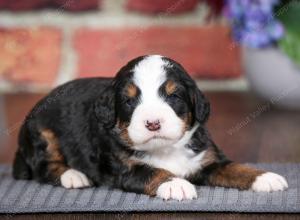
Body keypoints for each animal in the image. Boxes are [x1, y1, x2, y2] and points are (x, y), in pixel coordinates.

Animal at [12, 54, 288, 199]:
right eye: (129, 100)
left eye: (173, 96)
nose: (153, 123)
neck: (165, 149)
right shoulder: (125, 168)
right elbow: (152, 172)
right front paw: (175, 183)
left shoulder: (207, 160)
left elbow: (234, 167)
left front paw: (264, 176)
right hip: (42, 132)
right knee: (44, 166)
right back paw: (73, 175)